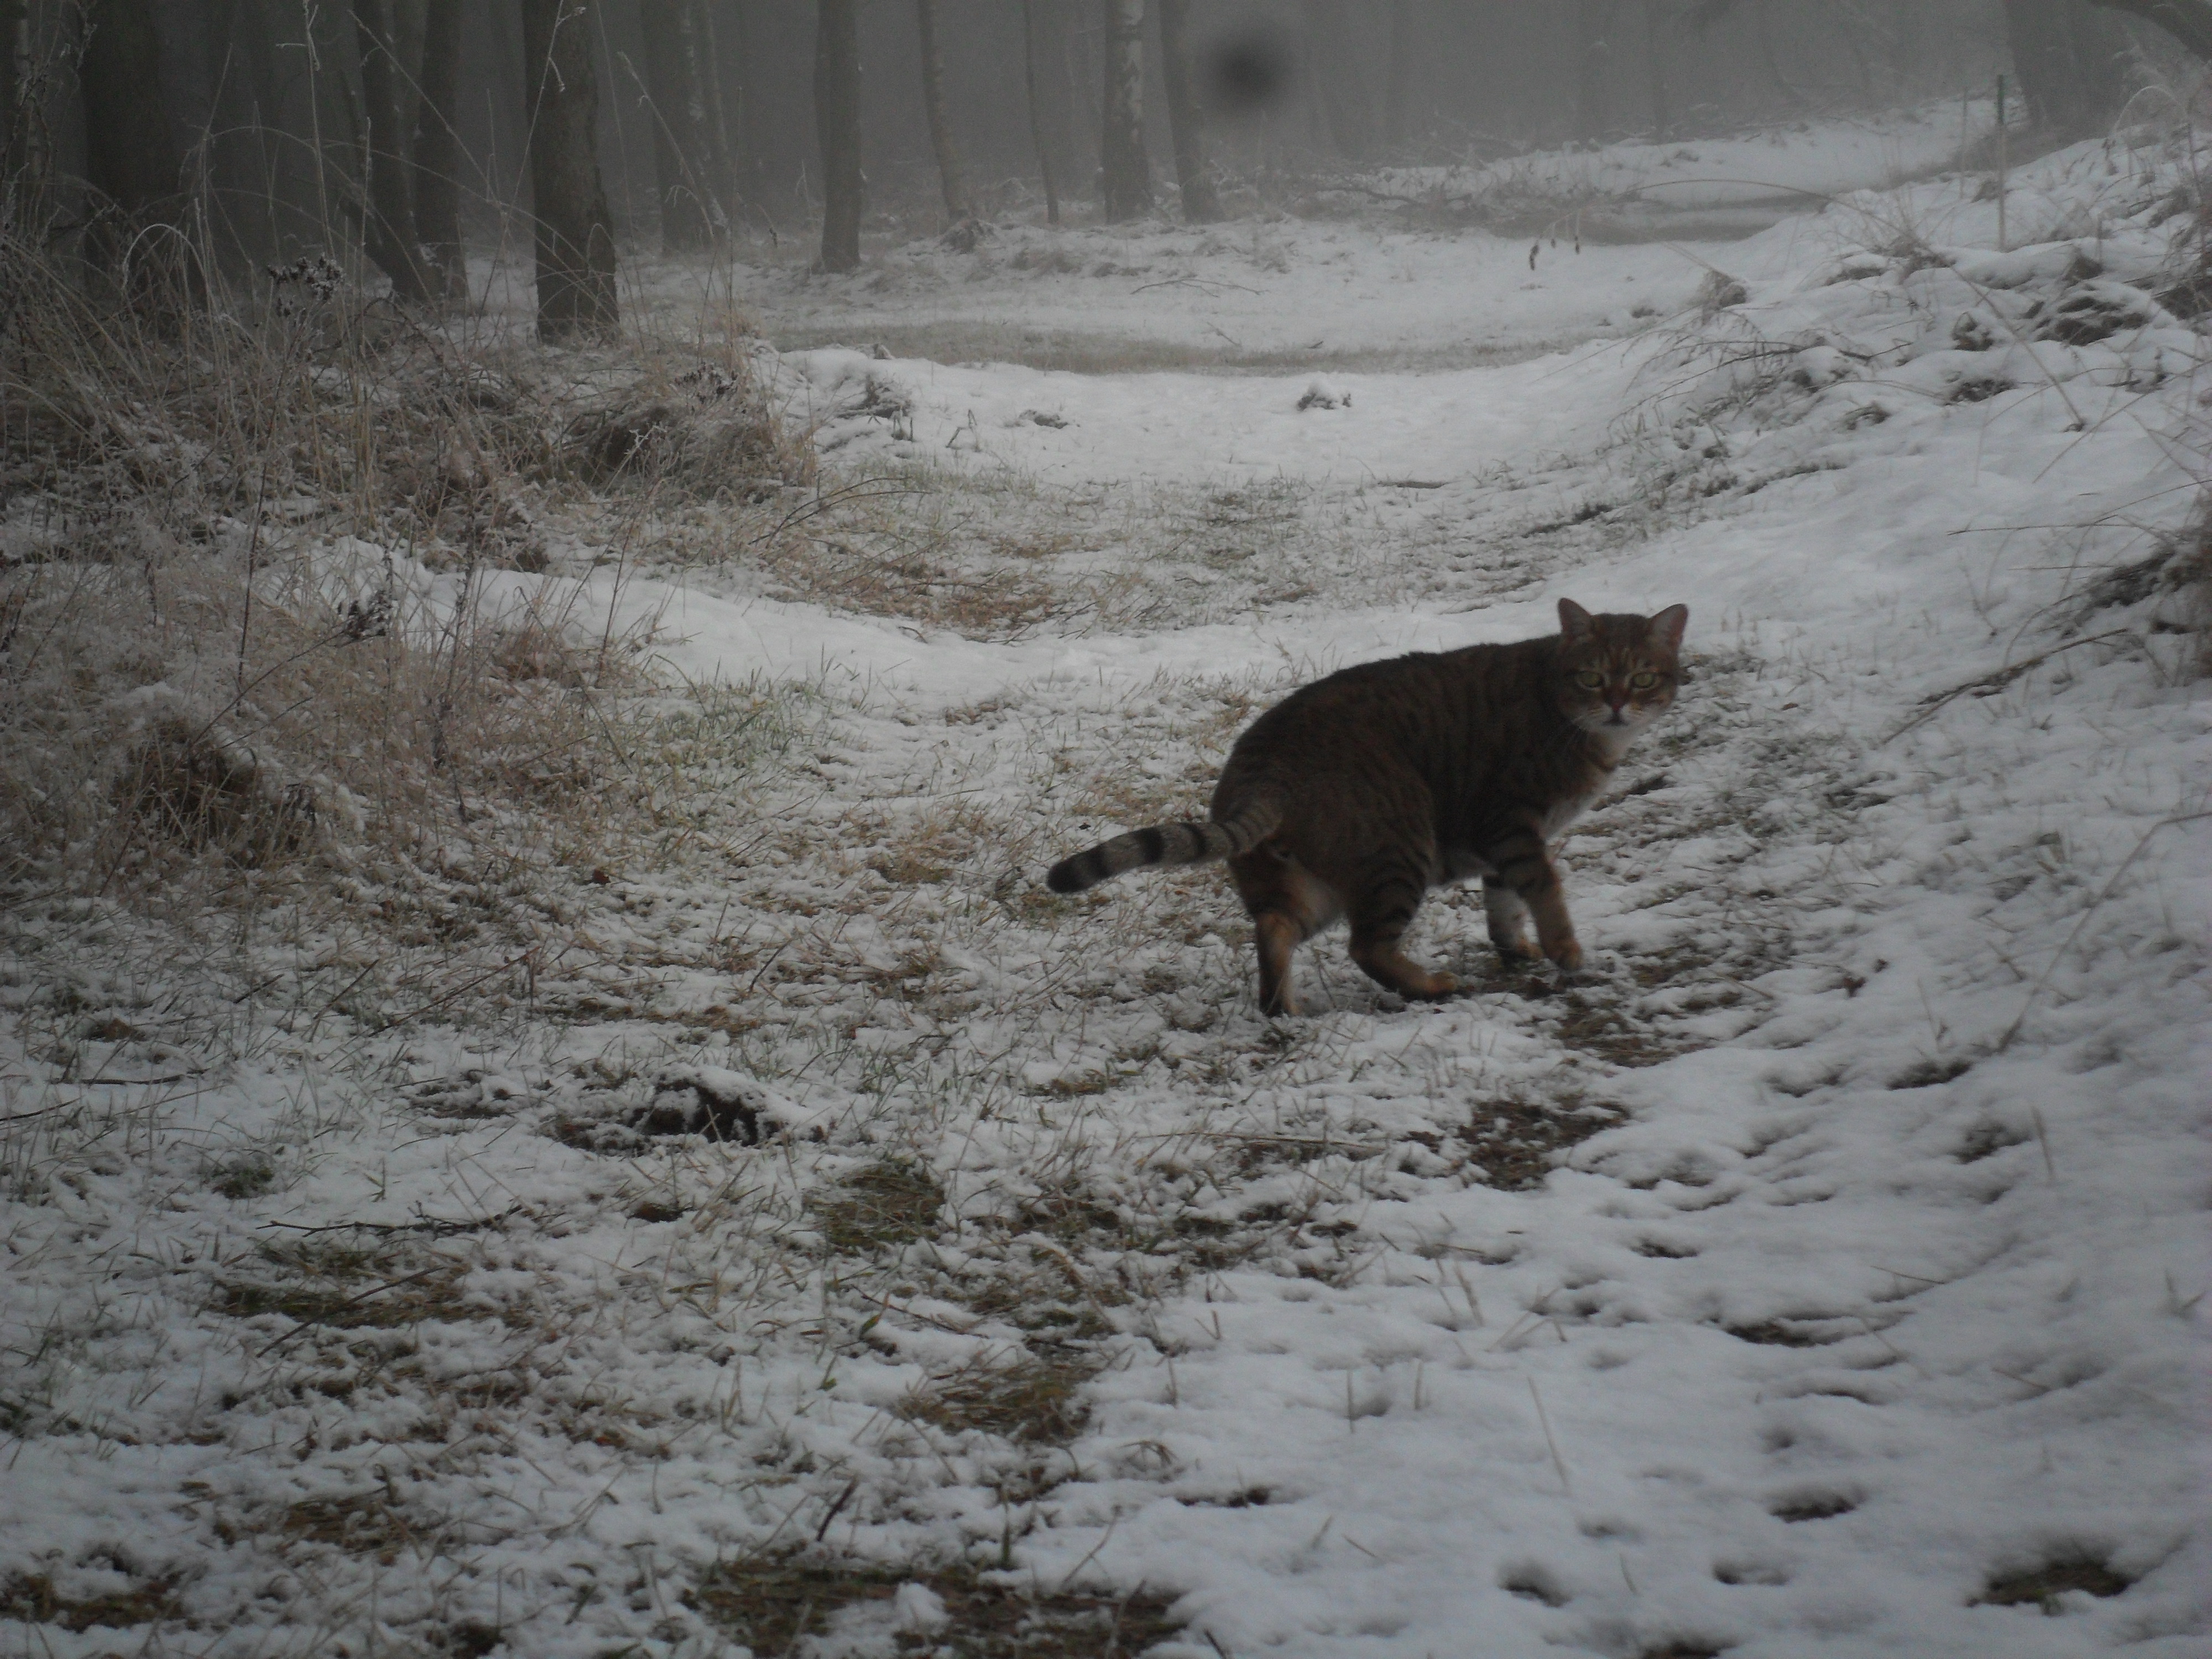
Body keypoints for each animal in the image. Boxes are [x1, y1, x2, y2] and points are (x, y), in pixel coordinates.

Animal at [1046, 598, 1689, 1015]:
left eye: (1642, 678)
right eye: (1591, 678)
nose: (1616, 705)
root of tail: (1266, 763)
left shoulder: (1499, 848)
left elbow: (1503, 906)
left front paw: (1517, 950)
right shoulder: (1511, 823)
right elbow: (1545, 891)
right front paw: (1566, 952)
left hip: (1307, 881)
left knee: (1274, 928)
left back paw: (1284, 1009)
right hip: (1400, 850)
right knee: (1367, 947)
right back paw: (1430, 987)